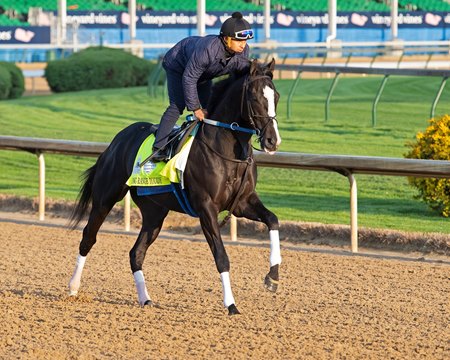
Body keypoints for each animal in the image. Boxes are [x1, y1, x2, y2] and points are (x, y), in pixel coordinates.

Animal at [68, 57, 282, 314]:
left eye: (276, 96)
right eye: (254, 97)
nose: (272, 140)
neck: (227, 151)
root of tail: (115, 142)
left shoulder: (242, 202)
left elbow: (273, 220)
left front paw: (272, 277)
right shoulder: (206, 208)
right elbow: (221, 256)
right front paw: (231, 304)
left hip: (154, 212)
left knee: (136, 253)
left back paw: (145, 298)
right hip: (105, 198)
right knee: (88, 237)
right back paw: (73, 288)